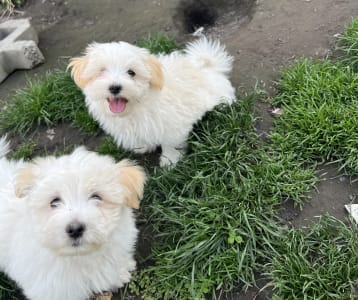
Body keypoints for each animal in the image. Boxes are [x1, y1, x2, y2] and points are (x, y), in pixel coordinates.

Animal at [68, 37, 236, 166]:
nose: (115, 87)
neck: (136, 107)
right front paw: (142, 146)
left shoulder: (171, 125)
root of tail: (208, 66)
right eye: (101, 71)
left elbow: (170, 144)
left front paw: (169, 161)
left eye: (131, 73)